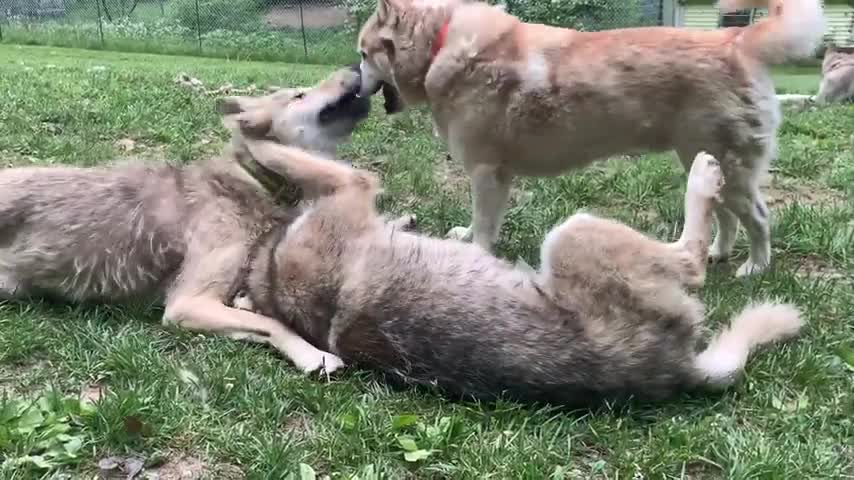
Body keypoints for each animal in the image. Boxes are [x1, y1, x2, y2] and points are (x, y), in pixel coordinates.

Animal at [356, 0, 828, 278]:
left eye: (363, 54)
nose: (353, 84)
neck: (441, 46)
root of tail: (734, 40)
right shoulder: (490, 176)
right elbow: (480, 222)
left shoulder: (488, 174)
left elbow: (484, 227)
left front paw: (476, 251)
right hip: (705, 160)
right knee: (726, 215)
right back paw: (719, 253)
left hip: (729, 167)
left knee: (760, 218)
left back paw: (755, 267)